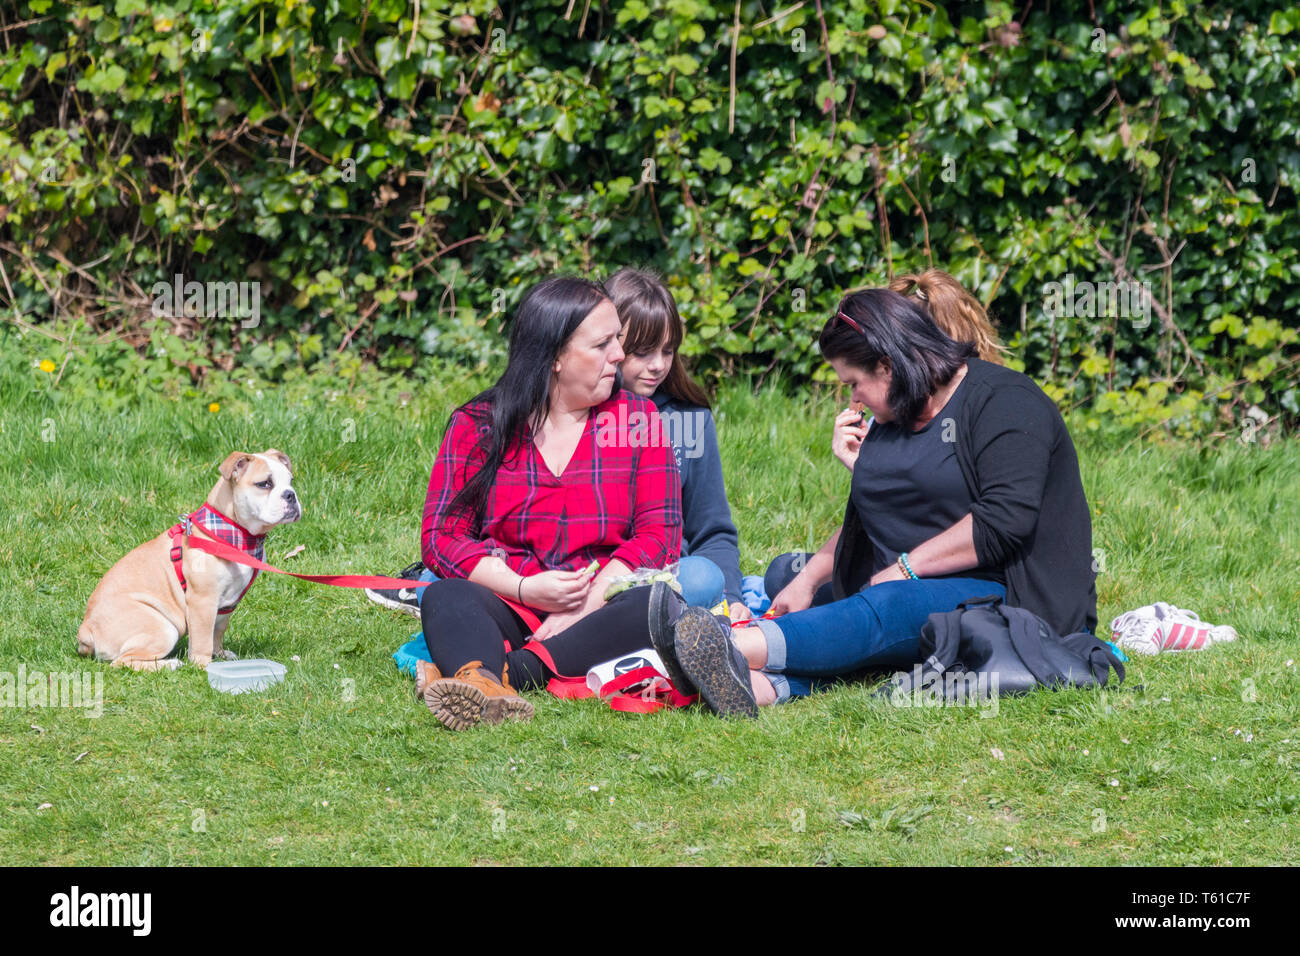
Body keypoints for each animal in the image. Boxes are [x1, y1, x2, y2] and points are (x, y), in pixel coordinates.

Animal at [80, 450, 301, 671]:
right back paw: (169, 664)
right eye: (264, 484)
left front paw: (220, 654)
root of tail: (86, 631)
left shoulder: (226, 605)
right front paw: (203, 664)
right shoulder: (203, 601)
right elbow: (203, 637)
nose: (290, 494)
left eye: (291, 481)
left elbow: (218, 630)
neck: (235, 533)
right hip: (162, 627)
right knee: (122, 661)